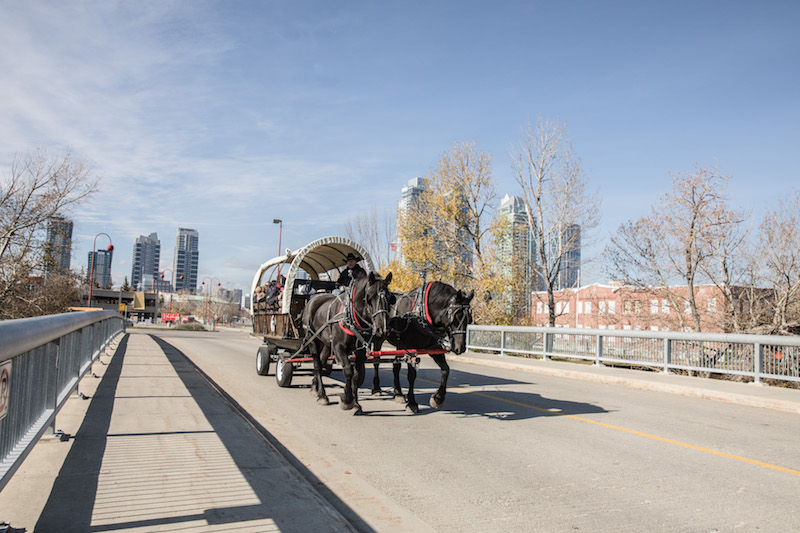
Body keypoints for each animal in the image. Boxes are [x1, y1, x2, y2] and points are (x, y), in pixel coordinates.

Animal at [304, 272, 394, 414]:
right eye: (369, 297)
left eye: (390, 298)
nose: (383, 328)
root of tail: (314, 298)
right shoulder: (339, 347)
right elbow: (348, 370)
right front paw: (346, 400)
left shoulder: (360, 350)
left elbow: (356, 375)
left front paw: (355, 403)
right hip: (312, 340)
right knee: (317, 365)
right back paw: (322, 395)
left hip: (326, 344)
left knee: (322, 361)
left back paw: (314, 387)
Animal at [372, 280, 472, 414]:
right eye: (456, 317)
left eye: (469, 319)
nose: (460, 348)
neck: (422, 315)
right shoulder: (411, 349)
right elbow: (412, 375)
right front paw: (412, 403)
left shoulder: (433, 349)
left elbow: (445, 370)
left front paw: (438, 398)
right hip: (378, 338)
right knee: (376, 361)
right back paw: (377, 389)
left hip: (399, 345)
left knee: (396, 366)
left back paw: (398, 393)